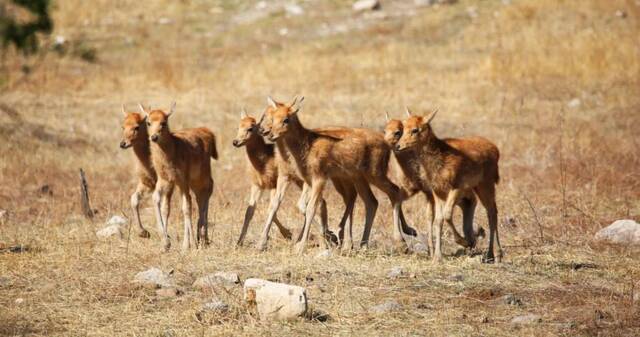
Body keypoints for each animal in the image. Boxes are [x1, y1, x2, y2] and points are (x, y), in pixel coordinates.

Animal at [142, 103, 218, 251]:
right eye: (148, 122)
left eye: (164, 122)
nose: (154, 137)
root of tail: (208, 133)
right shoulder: (165, 179)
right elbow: (159, 201)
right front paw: (165, 243)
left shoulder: (182, 180)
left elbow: (186, 208)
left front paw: (188, 245)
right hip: (192, 182)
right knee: (199, 197)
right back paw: (201, 237)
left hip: (202, 176)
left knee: (206, 192)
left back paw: (202, 237)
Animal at [396, 109, 500, 262]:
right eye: (403, 128)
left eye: (415, 129)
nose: (398, 146)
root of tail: (495, 149)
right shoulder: (437, 191)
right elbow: (439, 220)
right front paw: (437, 257)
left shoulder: (456, 187)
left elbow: (447, 215)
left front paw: (465, 242)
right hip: (478, 186)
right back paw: (490, 253)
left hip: (486, 184)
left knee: (492, 212)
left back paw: (496, 254)